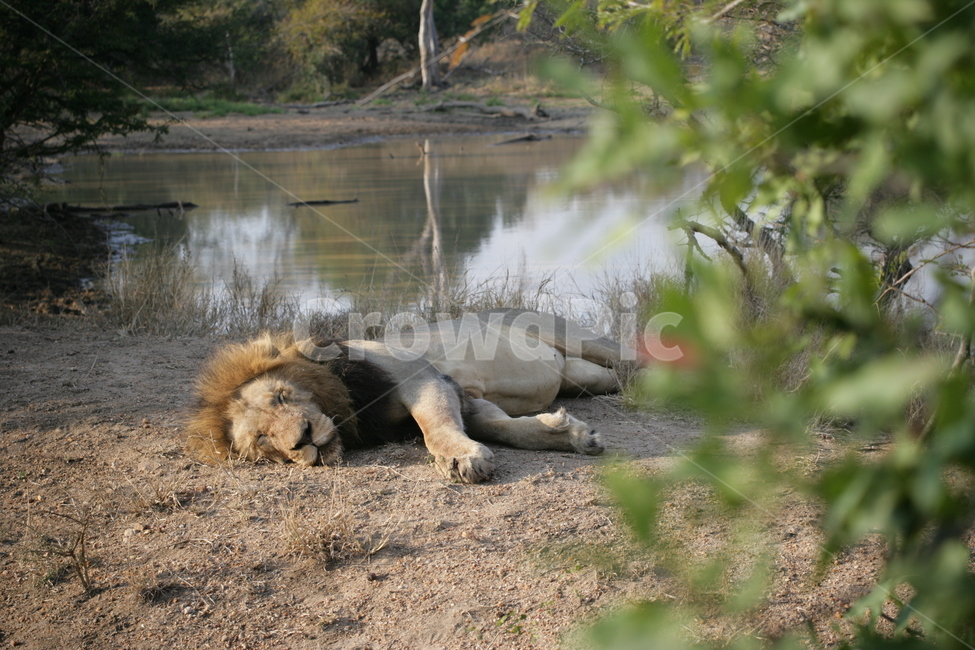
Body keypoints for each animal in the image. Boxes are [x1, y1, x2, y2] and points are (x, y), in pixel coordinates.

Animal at [185, 309, 623, 483]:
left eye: (280, 397)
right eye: (262, 440)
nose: (303, 439)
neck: (349, 406)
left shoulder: (420, 376)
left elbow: (434, 427)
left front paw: (459, 458)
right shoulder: (467, 400)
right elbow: (505, 428)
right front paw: (574, 436)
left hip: (586, 342)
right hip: (584, 376)